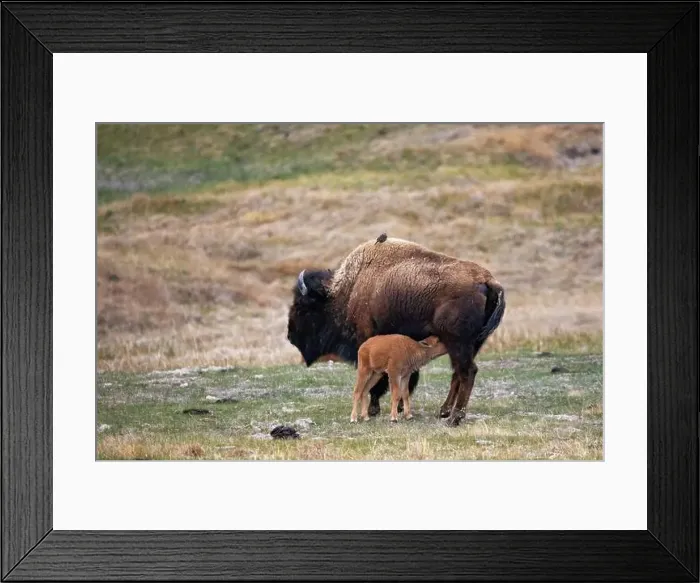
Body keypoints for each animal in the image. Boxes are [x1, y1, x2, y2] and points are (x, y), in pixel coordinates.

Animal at [286, 236, 505, 426]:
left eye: (302, 307)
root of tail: (488, 281)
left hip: (458, 343)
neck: (348, 290)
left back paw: (454, 418)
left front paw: (374, 409)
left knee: (467, 372)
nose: (290, 335)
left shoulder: (367, 338)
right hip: (470, 344)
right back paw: (444, 411)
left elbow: (379, 382)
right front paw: (399, 408)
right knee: (457, 373)